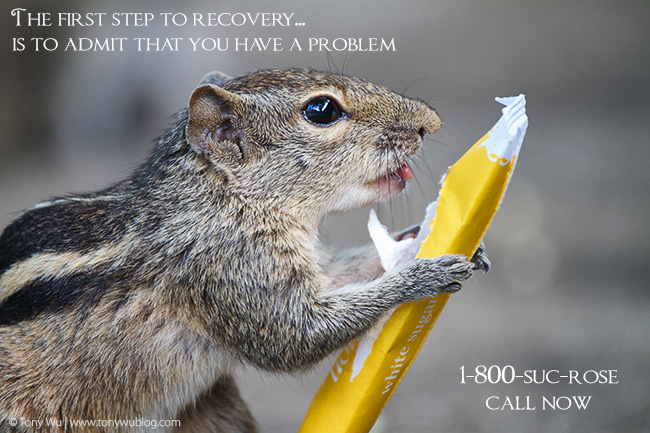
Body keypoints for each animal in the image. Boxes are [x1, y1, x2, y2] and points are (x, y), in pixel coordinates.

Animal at [0, 69, 486, 430]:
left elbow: (353, 272)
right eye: (322, 110)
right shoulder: (231, 272)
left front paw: (425, 237)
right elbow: (295, 336)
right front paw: (423, 275)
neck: (224, 200)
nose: (429, 123)